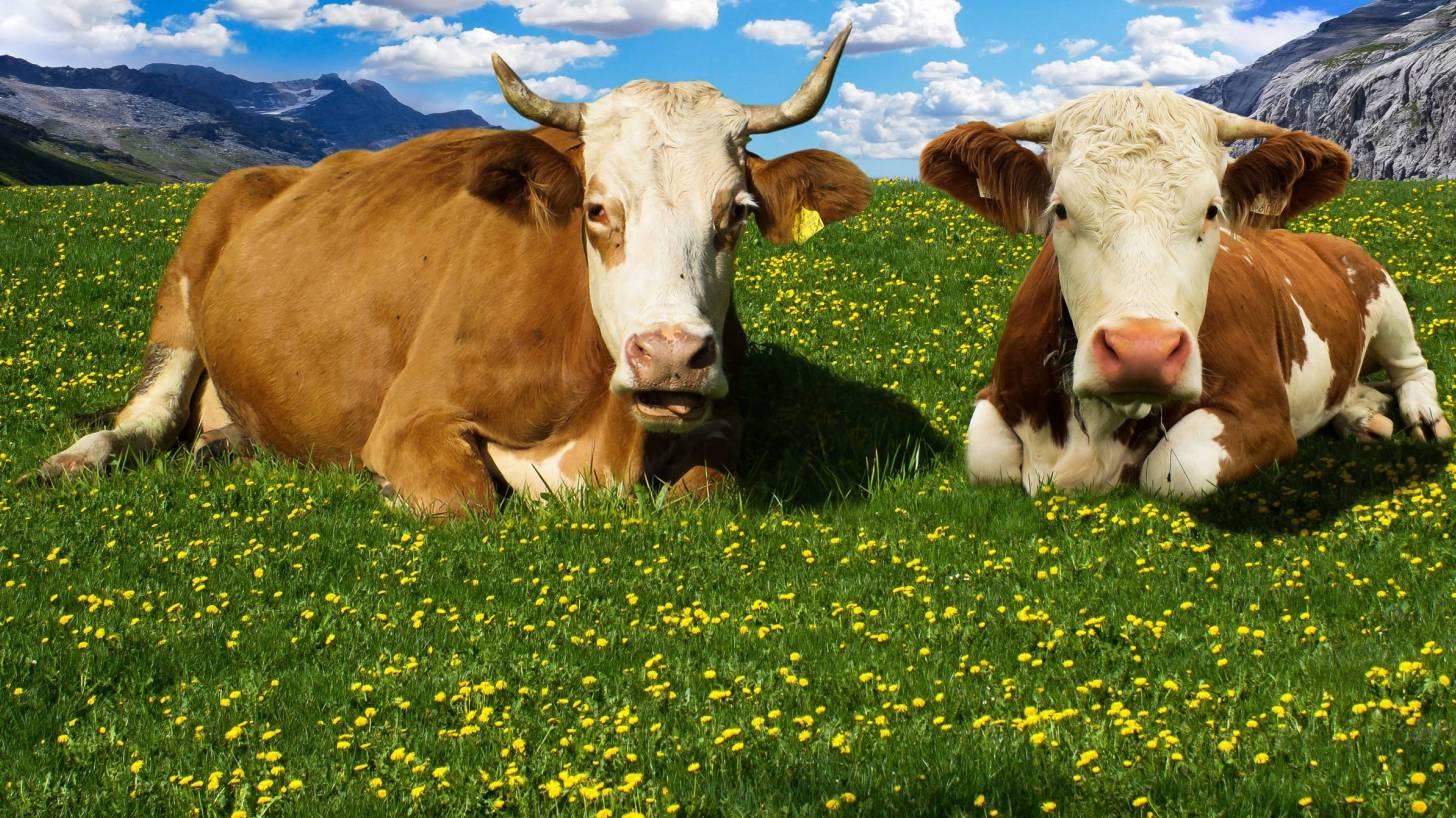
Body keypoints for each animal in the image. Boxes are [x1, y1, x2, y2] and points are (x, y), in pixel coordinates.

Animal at [27, 29, 871, 516]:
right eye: (597, 208)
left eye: (737, 210)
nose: (670, 355)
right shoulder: (412, 414)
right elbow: (470, 502)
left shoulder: (723, 417)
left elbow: (705, 494)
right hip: (183, 286)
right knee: (144, 418)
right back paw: (71, 462)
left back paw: (223, 447)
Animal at [920, 86, 1450, 499]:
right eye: (1061, 210)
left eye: (1212, 210)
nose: (1142, 351)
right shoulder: (995, 398)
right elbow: (986, 457)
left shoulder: (1263, 417)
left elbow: (1176, 468)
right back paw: (1361, 414)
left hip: (1384, 296)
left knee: (1412, 369)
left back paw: (1424, 418)